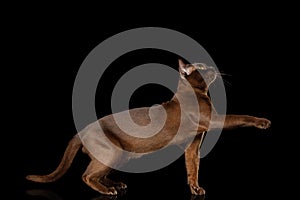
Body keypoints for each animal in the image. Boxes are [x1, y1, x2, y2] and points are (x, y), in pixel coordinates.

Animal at [25, 59, 270, 195]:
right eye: (201, 67)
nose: (212, 67)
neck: (198, 93)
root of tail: (80, 131)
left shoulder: (193, 146)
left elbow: (193, 170)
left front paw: (195, 190)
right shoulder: (215, 120)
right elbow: (241, 116)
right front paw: (263, 122)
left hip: (120, 156)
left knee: (97, 173)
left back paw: (117, 184)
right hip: (114, 153)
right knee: (87, 176)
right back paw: (109, 190)